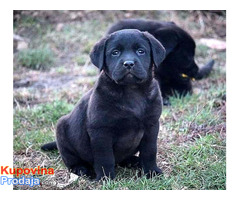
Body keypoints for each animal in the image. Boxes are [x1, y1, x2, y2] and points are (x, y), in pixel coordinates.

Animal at [40, 29, 165, 181]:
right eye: (115, 52)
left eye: (141, 51)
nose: (128, 63)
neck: (131, 90)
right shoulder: (101, 131)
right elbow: (105, 157)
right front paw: (106, 178)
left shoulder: (151, 125)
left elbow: (149, 151)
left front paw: (151, 172)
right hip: (62, 131)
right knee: (71, 160)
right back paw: (81, 169)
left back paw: (132, 161)